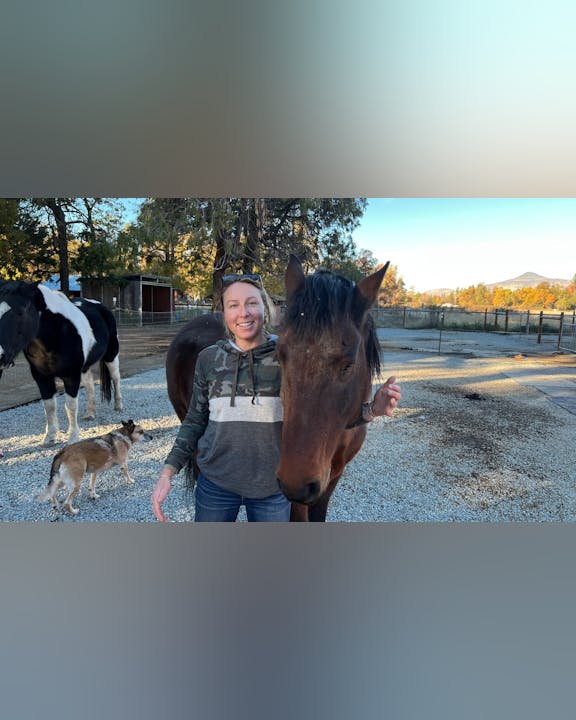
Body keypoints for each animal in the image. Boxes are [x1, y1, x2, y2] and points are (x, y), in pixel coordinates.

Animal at [0, 280, 122, 444]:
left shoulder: (71, 375)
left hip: (111, 355)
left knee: (115, 377)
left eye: (21, 312)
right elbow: (50, 406)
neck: (57, 333)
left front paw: (73, 437)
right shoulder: (41, 377)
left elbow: (70, 406)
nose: (1, 356)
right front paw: (50, 437)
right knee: (90, 384)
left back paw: (118, 406)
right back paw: (90, 413)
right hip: (84, 367)